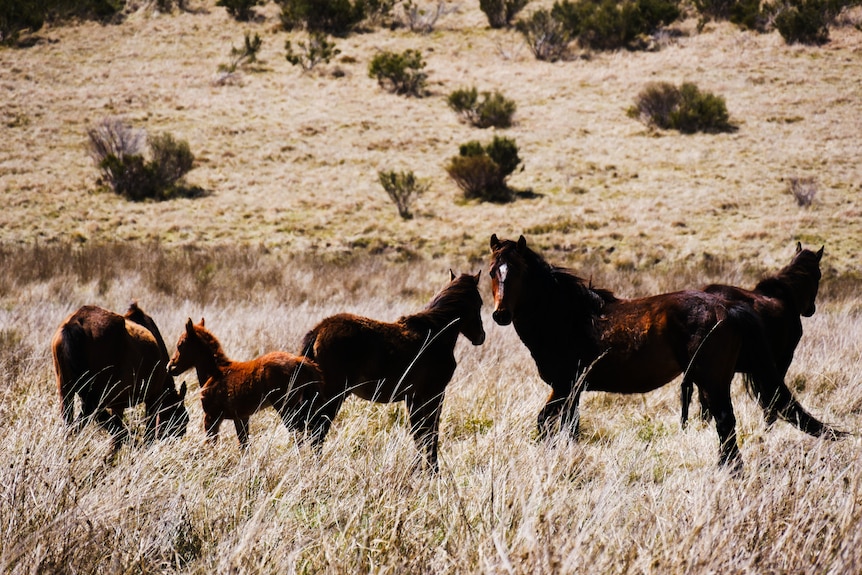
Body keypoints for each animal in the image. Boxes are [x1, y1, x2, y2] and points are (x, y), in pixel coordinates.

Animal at [51, 304, 188, 452]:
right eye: (182, 418)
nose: (177, 438)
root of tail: (75, 323)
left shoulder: (118, 404)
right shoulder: (151, 399)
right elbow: (145, 434)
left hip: (66, 392)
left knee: (70, 425)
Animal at [168, 320, 324, 450]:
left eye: (180, 344)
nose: (170, 367)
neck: (215, 373)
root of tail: (300, 361)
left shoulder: (211, 416)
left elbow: (210, 444)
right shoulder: (241, 417)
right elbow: (243, 445)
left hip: (286, 406)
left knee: (297, 433)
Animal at [300, 272, 486, 470]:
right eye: (479, 303)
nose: (480, 336)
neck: (435, 333)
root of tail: (318, 331)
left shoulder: (413, 398)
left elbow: (419, 434)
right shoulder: (434, 395)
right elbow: (430, 434)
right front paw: (432, 471)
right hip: (333, 397)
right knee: (317, 432)